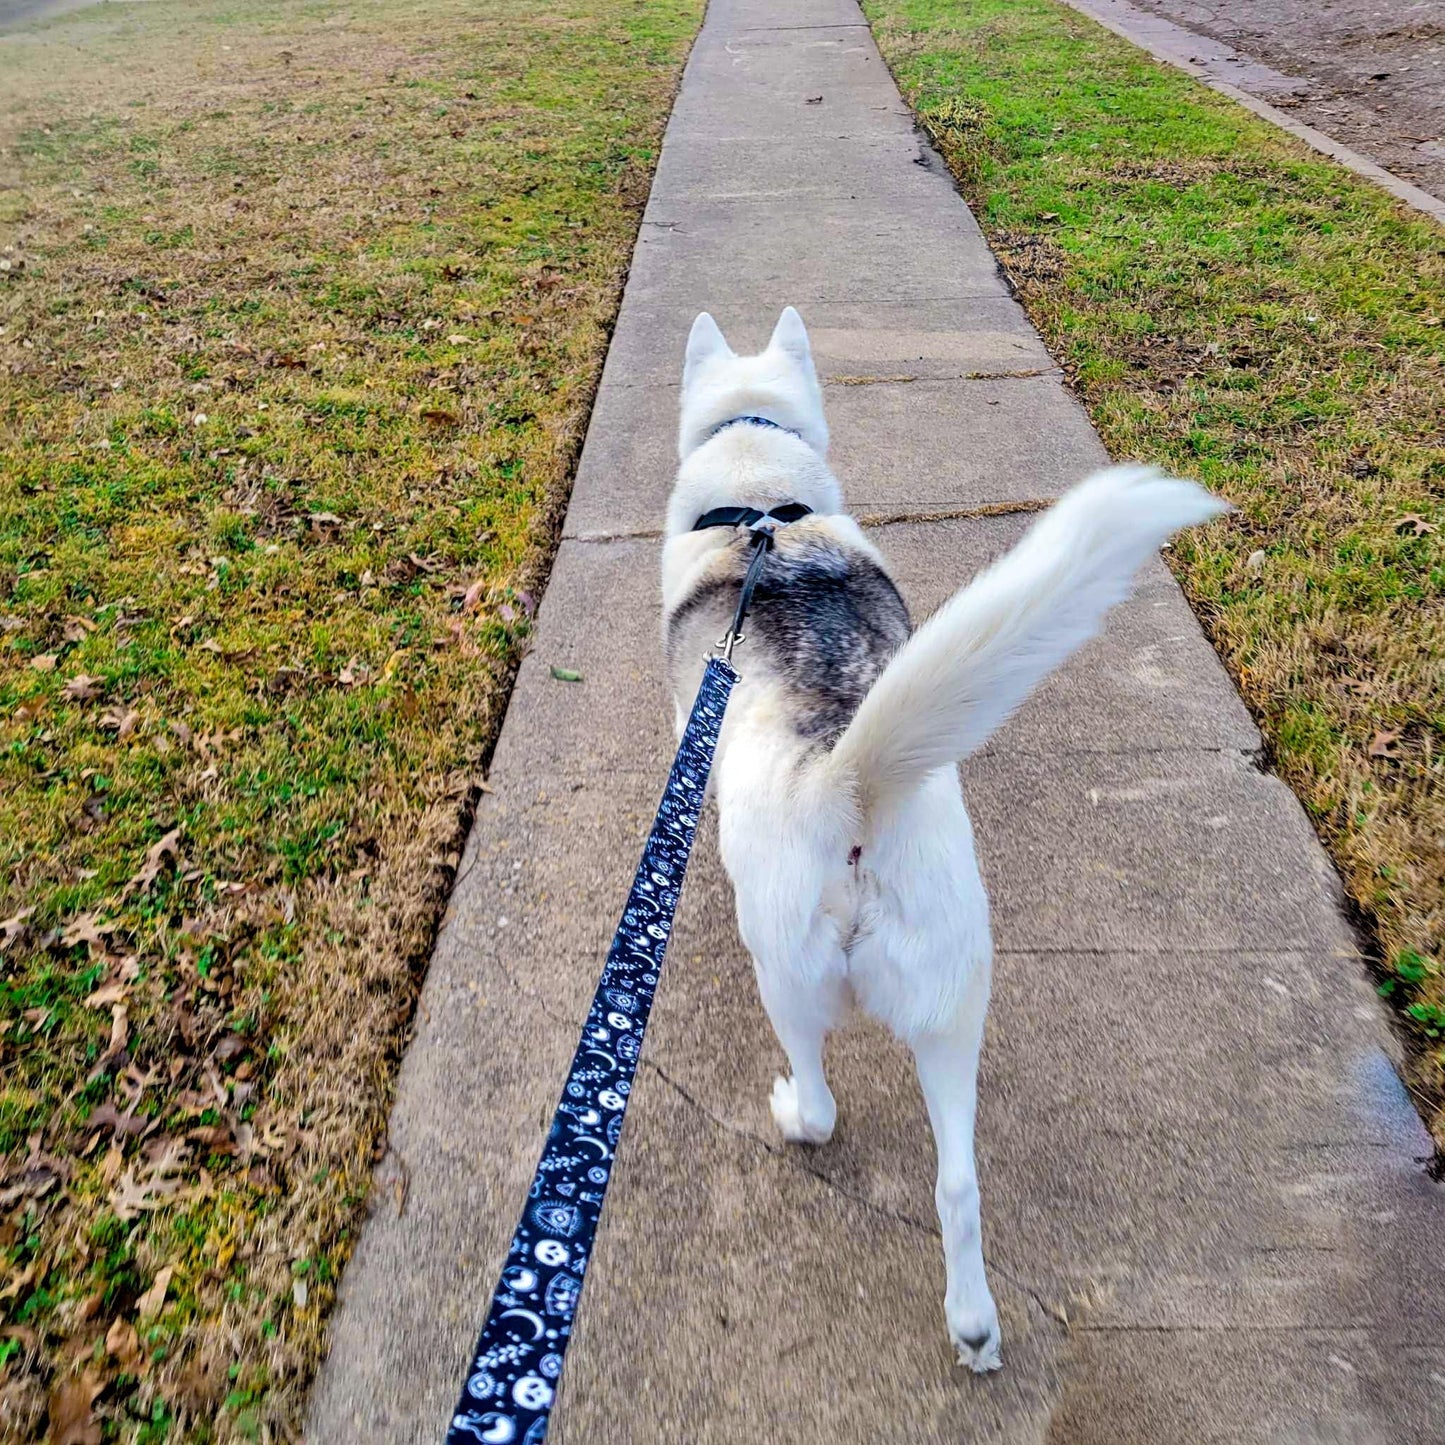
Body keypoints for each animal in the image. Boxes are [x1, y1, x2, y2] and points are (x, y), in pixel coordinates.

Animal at [661, 304, 1225, 1364]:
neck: (762, 504)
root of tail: (848, 782)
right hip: (953, 1000)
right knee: (959, 1184)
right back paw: (971, 1320)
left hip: (785, 974)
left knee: (824, 1105)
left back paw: (794, 1111)